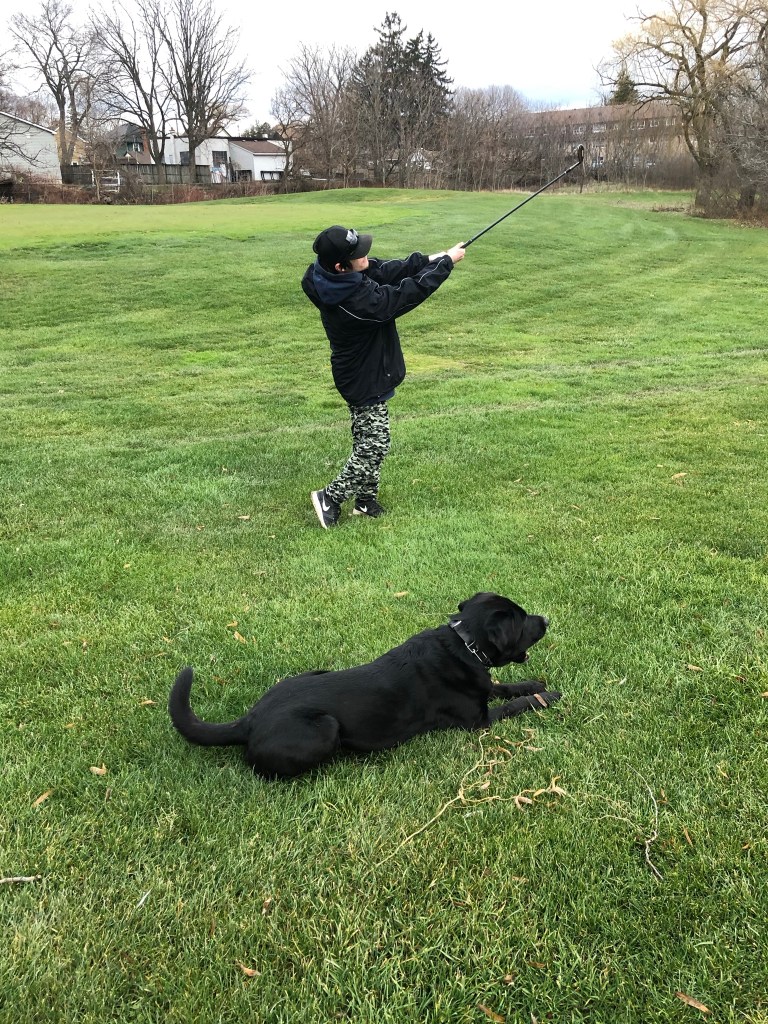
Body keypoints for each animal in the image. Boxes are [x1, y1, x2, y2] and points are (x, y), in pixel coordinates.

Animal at [168, 592, 561, 779]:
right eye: (522, 621)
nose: (546, 619)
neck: (464, 643)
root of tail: (248, 720)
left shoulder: (481, 687)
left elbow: (503, 686)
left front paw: (533, 683)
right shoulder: (478, 721)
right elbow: (513, 703)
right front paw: (545, 695)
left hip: (316, 671)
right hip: (325, 727)